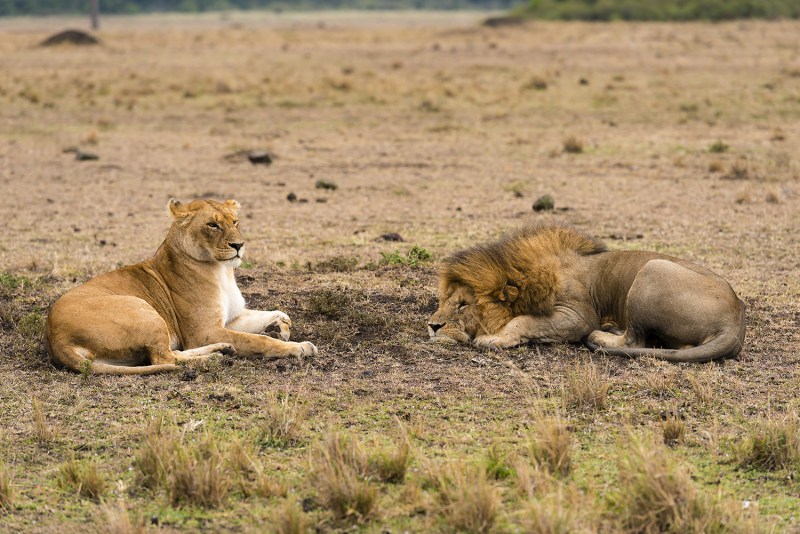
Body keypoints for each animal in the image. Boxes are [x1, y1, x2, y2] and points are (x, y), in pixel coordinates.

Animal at [45, 198, 318, 376]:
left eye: (236, 221)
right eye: (212, 225)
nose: (239, 245)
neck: (222, 271)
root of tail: (56, 337)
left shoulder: (231, 319)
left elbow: (276, 313)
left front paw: (282, 327)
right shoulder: (204, 331)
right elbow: (258, 341)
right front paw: (298, 347)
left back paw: (223, 350)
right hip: (143, 309)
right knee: (164, 357)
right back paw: (216, 357)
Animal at [428, 224, 748, 366]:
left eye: (463, 305)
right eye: (443, 301)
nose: (432, 326)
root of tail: (736, 319)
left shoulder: (577, 315)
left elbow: (524, 321)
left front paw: (495, 338)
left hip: (652, 269)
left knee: (634, 340)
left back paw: (601, 335)